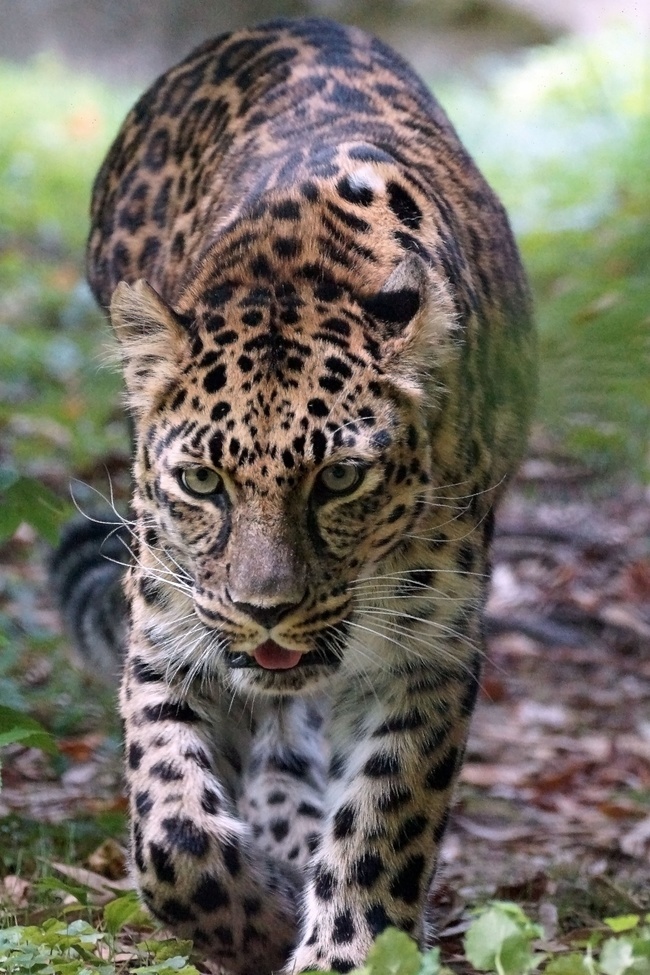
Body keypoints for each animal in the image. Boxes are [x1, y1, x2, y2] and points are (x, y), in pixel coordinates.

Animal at [53, 16, 535, 975]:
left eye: (340, 478)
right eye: (202, 480)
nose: (264, 610)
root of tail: (281, 22)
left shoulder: (430, 654)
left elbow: (384, 824)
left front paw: (340, 948)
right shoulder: (168, 630)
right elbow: (173, 835)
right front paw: (264, 915)